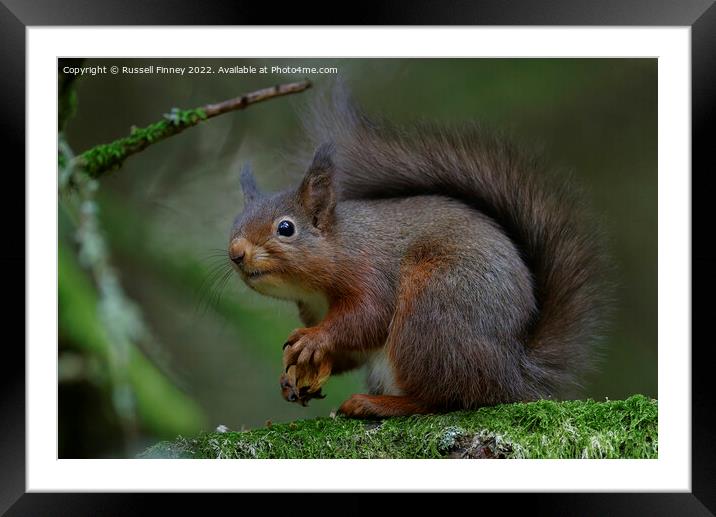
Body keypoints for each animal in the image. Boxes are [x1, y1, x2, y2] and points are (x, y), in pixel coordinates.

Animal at [227, 89, 608, 420]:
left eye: (286, 228)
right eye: (235, 222)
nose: (235, 252)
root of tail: (512, 372)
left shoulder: (369, 271)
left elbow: (369, 317)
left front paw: (313, 338)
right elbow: (353, 350)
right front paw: (290, 377)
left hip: (431, 312)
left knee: (444, 398)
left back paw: (377, 404)